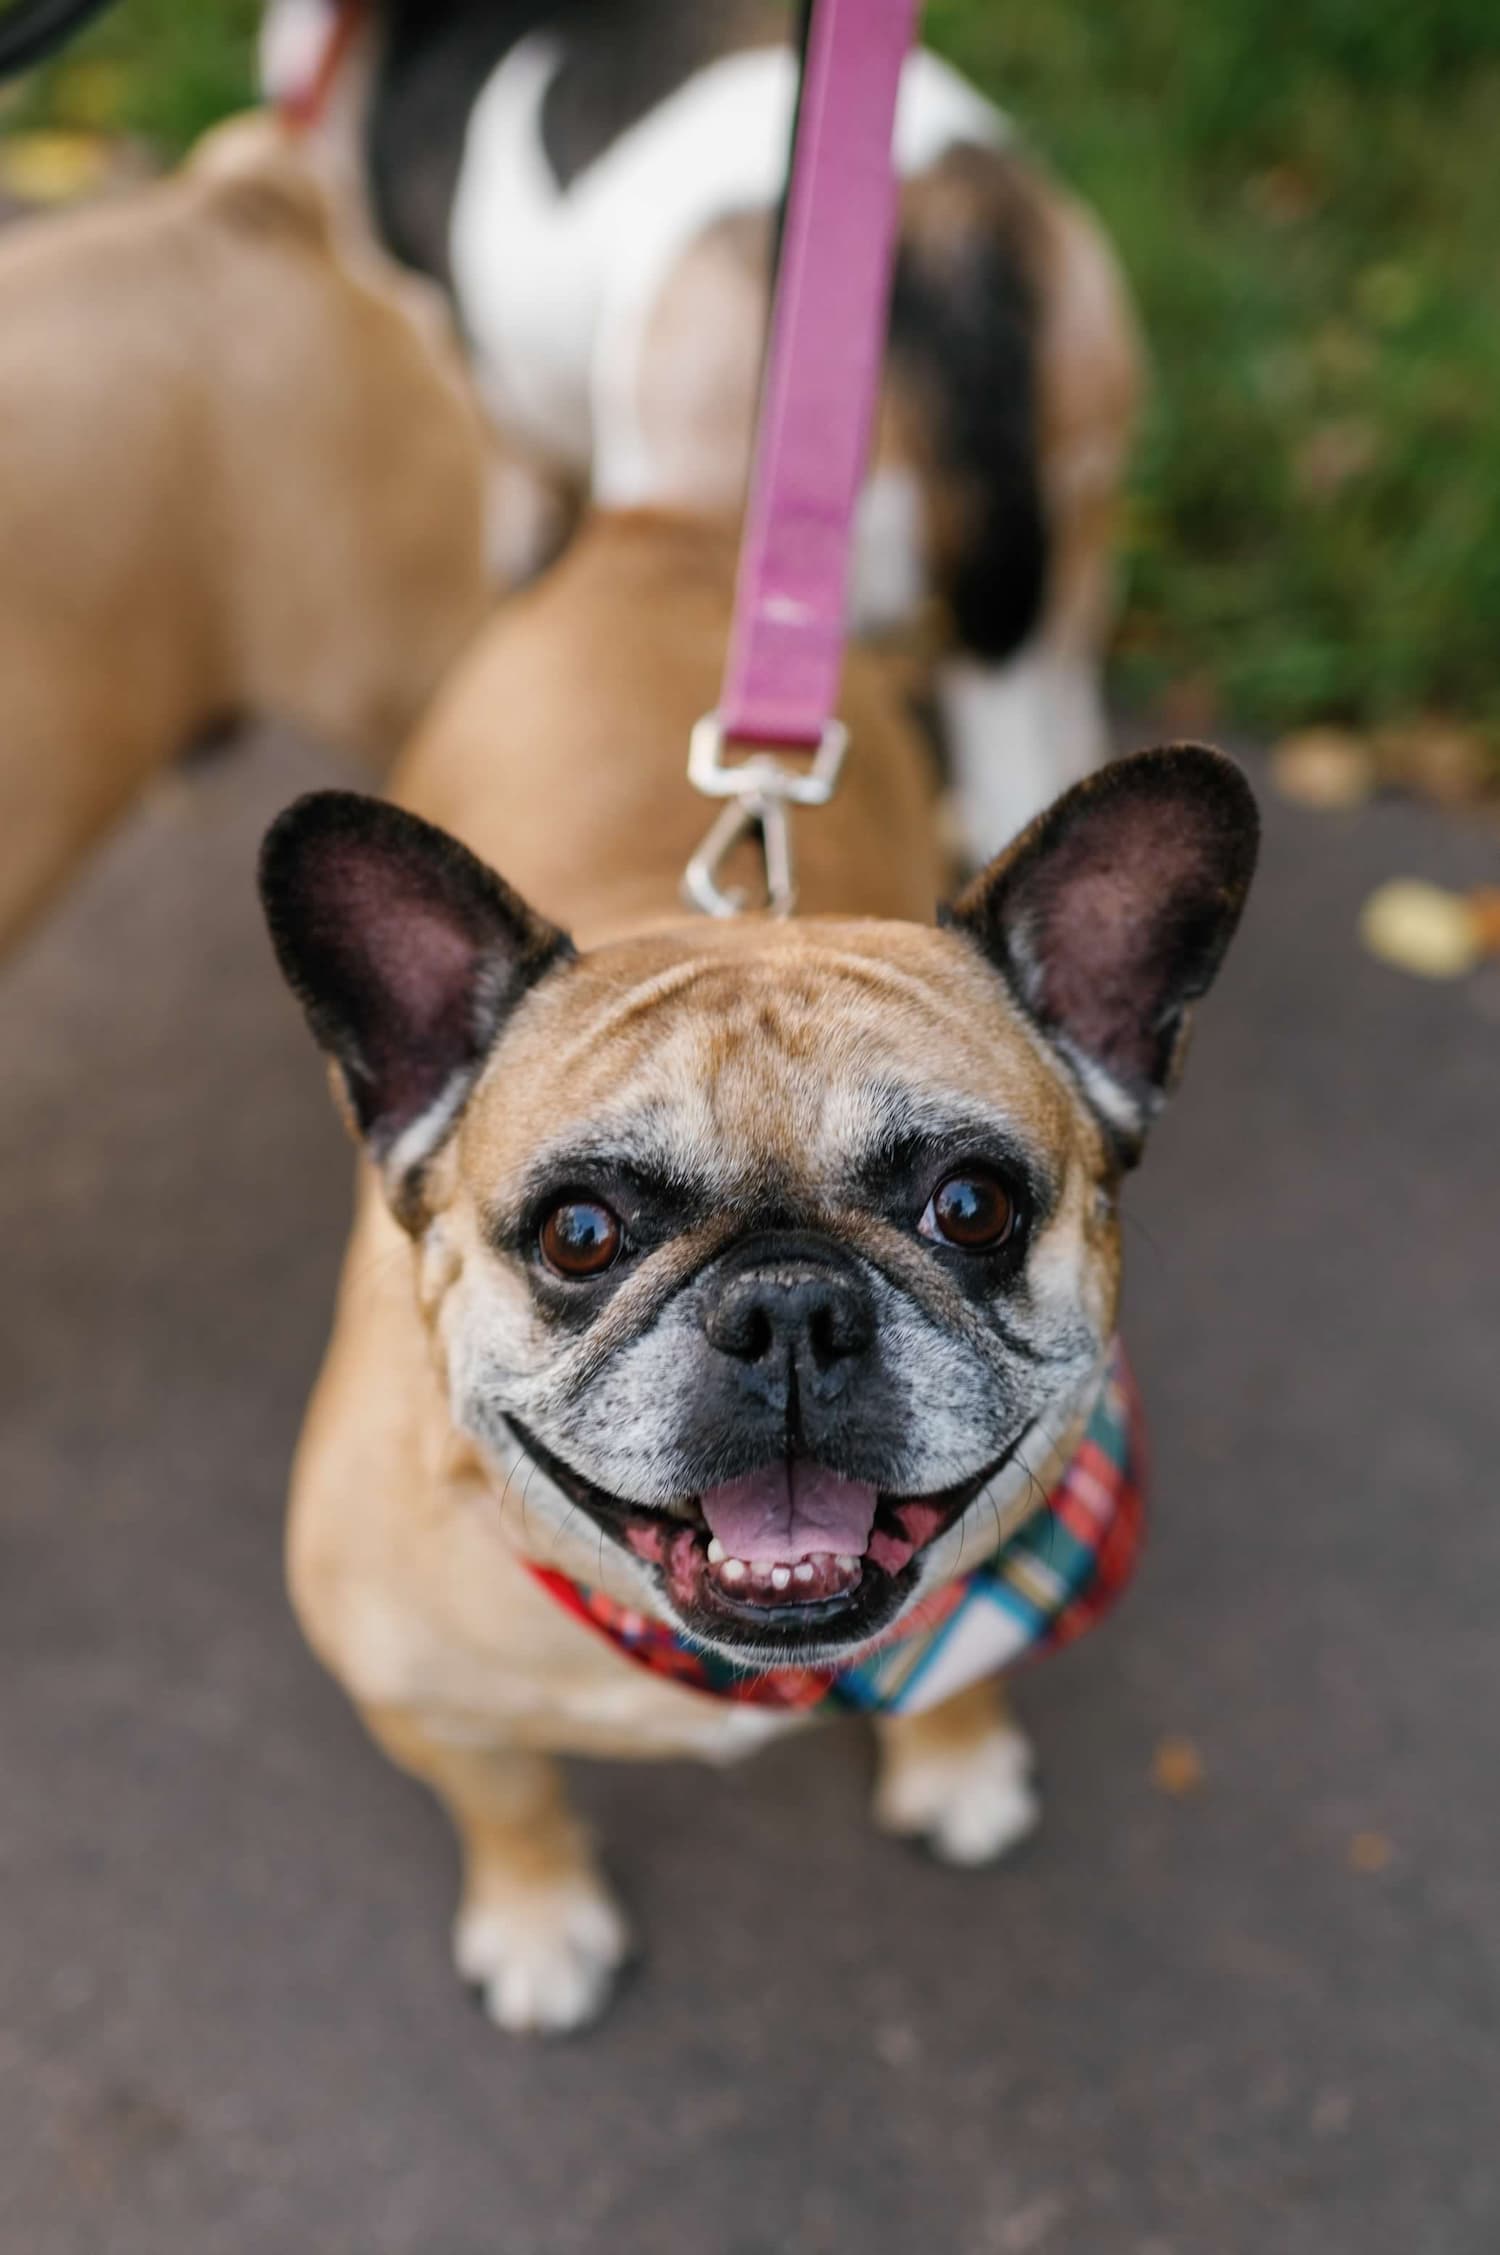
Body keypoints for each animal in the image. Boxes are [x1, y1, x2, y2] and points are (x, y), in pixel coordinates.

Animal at [257, 507, 1254, 2029]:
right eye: (580, 1232)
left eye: (974, 1205)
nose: (789, 1305)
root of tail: (659, 523)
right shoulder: (428, 1709)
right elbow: (509, 1801)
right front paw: (538, 1918)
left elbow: (948, 1662)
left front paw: (953, 1761)